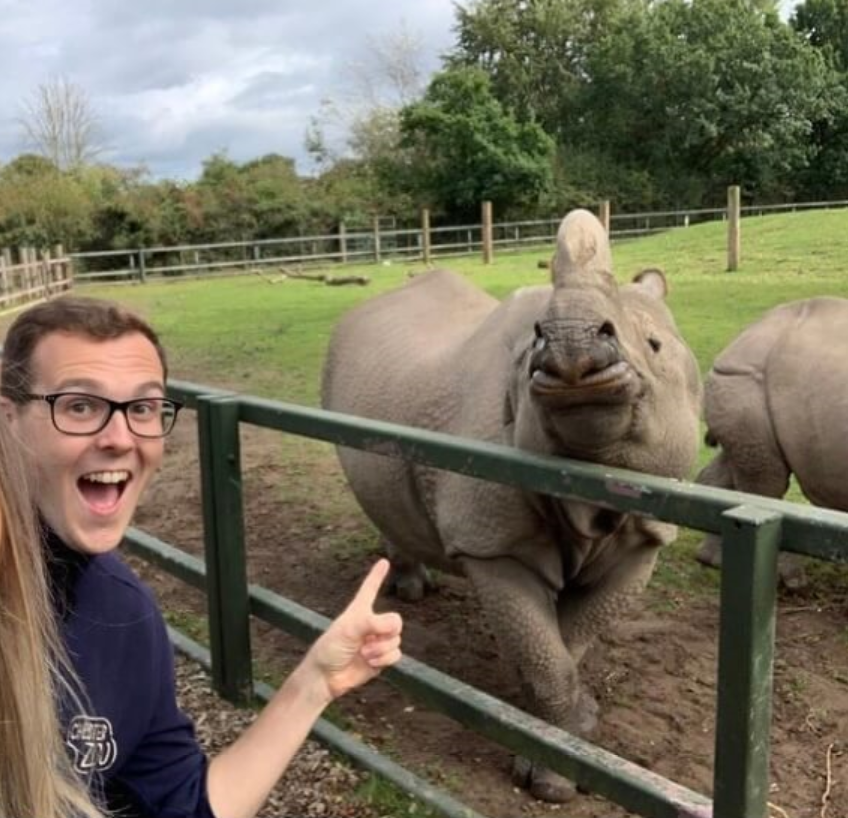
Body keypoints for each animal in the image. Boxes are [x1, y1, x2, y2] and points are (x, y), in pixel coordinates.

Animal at [320, 209, 704, 796]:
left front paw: (577, 726)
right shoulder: (492, 543)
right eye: (538, 339)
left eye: (655, 345)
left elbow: (568, 643)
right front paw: (551, 781)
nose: (570, 346)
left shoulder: (643, 538)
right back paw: (408, 591)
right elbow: (547, 657)